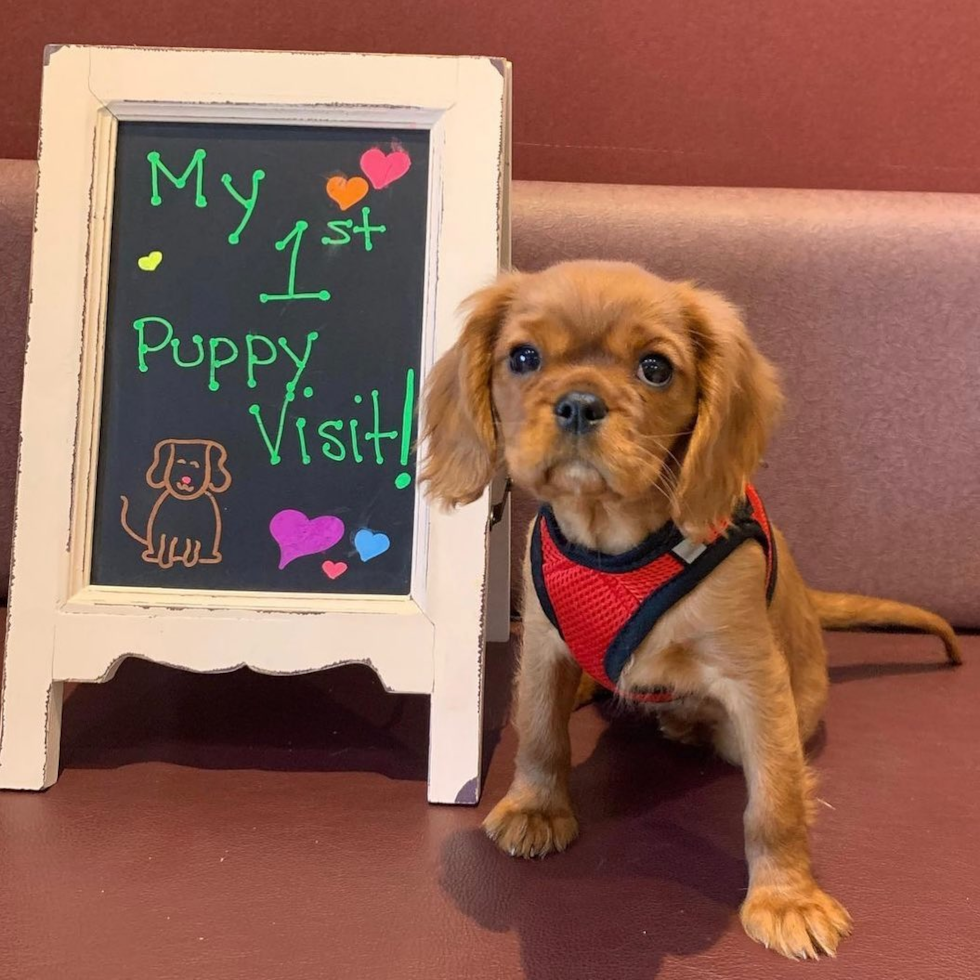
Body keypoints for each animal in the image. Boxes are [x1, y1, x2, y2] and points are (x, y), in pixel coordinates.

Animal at [418, 260, 960, 956]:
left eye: (655, 368)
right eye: (523, 357)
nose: (579, 404)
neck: (614, 541)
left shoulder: (755, 681)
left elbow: (775, 801)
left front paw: (787, 898)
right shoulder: (543, 647)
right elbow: (539, 731)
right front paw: (537, 808)